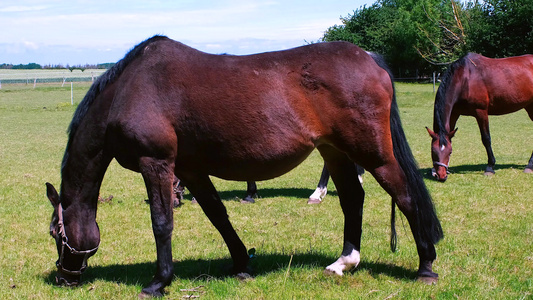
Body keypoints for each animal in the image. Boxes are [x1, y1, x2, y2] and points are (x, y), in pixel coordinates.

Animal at [45, 34, 442, 296]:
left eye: (54, 233)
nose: (63, 277)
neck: (129, 91)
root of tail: (368, 57)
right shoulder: (190, 169)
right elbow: (217, 214)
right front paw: (240, 263)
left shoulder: (156, 163)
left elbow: (161, 223)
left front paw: (159, 280)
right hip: (335, 151)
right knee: (352, 199)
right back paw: (343, 262)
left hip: (372, 152)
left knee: (405, 195)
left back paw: (425, 266)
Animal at [426, 52, 532, 182]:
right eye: (433, 151)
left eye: (450, 152)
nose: (441, 176)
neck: (465, 78)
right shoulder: (455, 113)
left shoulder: (481, 112)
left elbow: (486, 139)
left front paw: (490, 167)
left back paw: (529, 166)